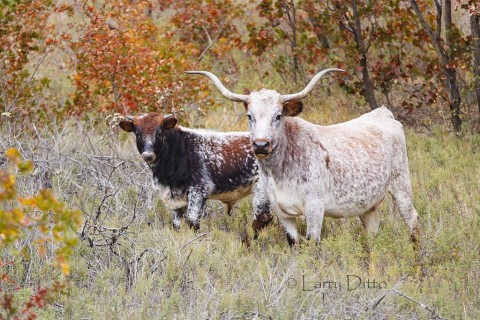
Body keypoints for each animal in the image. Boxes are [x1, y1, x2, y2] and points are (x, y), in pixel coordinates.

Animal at [118, 113, 272, 232]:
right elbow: (177, 224)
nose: (148, 155)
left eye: (159, 133)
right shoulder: (177, 198)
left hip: (261, 190)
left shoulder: (199, 190)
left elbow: (192, 221)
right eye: (138, 134)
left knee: (262, 218)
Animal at [188, 69, 420, 246]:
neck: (281, 170)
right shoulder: (282, 211)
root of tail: (382, 113)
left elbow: (312, 244)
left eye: (278, 115)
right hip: (367, 204)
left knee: (413, 223)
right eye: (249, 116)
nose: (261, 145)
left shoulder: (315, 208)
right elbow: (294, 243)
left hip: (402, 186)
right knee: (372, 234)